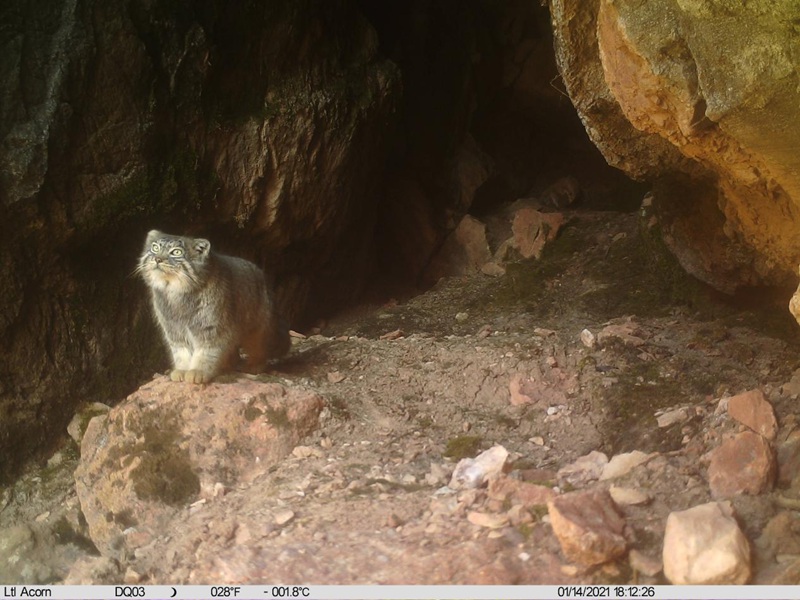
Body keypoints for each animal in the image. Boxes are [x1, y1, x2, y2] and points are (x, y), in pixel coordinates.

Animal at [138, 230, 290, 384]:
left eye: (176, 252)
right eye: (155, 248)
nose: (157, 259)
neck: (175, 293)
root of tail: (262, 277)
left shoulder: (212, 327)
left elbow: (206, 351)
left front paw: (198, 371)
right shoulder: (173, 329)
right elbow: (181, 352)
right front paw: (182, 369)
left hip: (256, 328)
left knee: (259, 347)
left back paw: (254, 365)